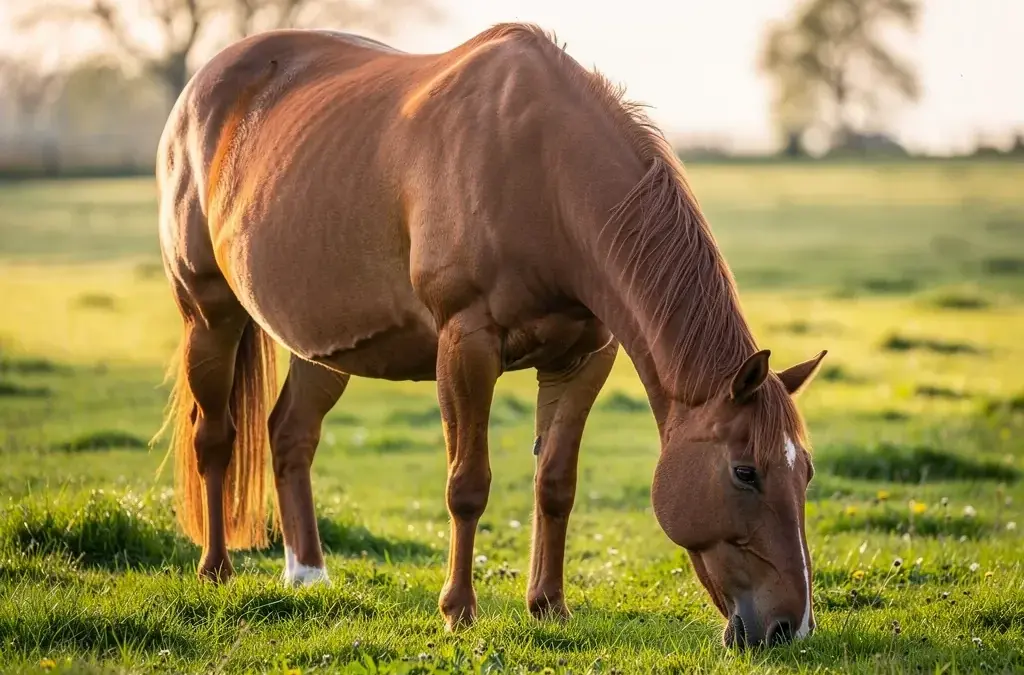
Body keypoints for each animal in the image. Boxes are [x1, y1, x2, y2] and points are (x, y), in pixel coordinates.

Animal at [154, 22, 827, 648]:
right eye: (745, 472)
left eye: (806, 473)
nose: (790, 628)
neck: (544, 175)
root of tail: (197, 93)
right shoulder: (466, 345)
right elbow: (467, 485)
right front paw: (458, 611)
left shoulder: (584, 357)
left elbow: (555, 484)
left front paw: (549, 606)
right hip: (208, 316)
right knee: (214, 437)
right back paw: (215, 570)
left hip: (325, 346)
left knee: (291, 434)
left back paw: (309, 576)